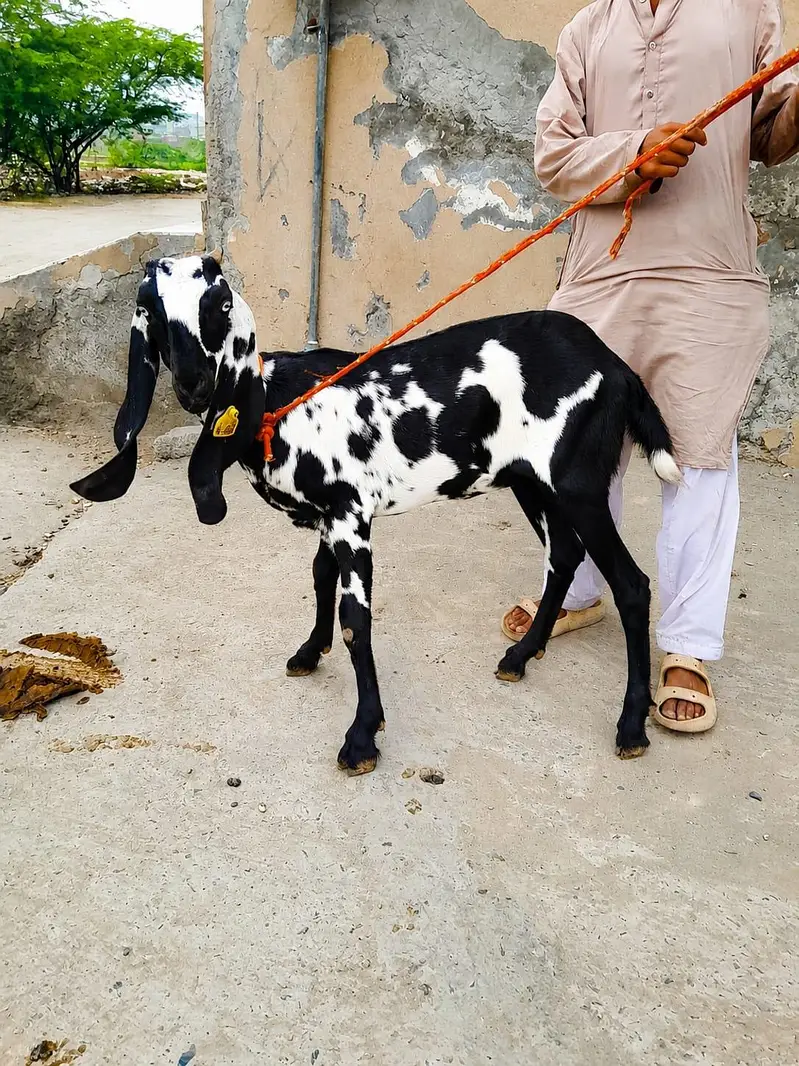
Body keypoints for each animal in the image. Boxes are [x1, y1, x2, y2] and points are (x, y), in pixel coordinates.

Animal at [72, 253, 681, 775]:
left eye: (219, 302)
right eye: (152, 309)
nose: (194, 384)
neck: (277, 402)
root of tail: (617, 366)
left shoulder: (350, 516)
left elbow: (355, 620)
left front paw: (362, 735)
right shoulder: (328, 518)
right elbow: (319, 579)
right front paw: (309, 651)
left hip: (577, 484)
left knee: (631, 584)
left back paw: (631, 726)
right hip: (532, 482)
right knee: (566, 555)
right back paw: (521, 654)